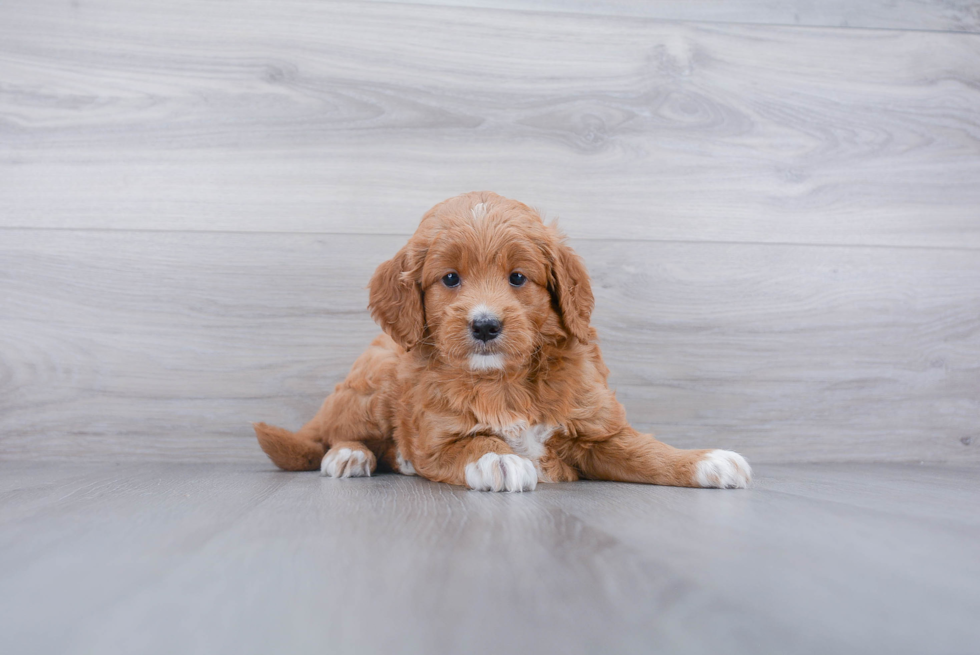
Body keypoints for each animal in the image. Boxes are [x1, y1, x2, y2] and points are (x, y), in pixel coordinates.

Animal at [253, 191, 752, 492]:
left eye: (517, 277)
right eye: (450, 279)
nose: (486, 325)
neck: (505, 380)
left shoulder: (597, 429)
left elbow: (647, 451)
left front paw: (705, 460)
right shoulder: (436, 436)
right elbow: (471, 443)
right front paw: (500, 457)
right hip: (370, 388)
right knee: (337, 433)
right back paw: (350, 455)